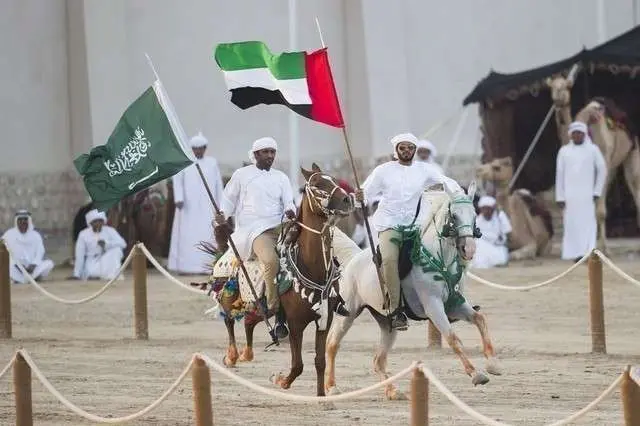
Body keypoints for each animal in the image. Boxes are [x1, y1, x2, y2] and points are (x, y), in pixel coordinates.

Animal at [208, 163, 352, 396]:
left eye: (334, 179)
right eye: (316, 184)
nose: (348, 199)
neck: (311, 266)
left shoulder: (324, 320)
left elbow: (319, 361)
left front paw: (321, 395)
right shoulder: (295, 323)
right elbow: (298, 364)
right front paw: (281, 380)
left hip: (260, 308)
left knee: (249, 322)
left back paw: (246, 353)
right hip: (231, 298)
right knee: (229, 319)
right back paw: (232, 355)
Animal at [328, 182, 502, 400]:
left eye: (474, 215)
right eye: (454, 216)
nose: (468, 249)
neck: (439, 257)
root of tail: (353, 258)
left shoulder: (456, 305)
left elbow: (480, 319)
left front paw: (493, 365)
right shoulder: (433, 306)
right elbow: (452, 338)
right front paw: (476, 374)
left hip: (387, 324)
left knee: (378, 360)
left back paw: (393, 391)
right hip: (348, 314)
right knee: (332, 344)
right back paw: (332, 388)